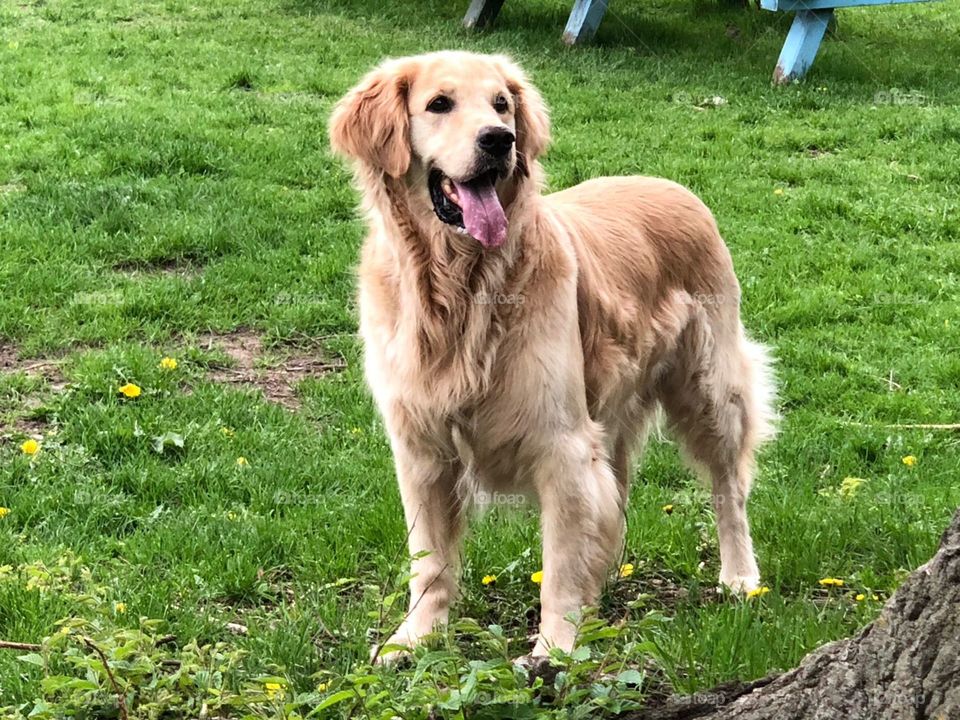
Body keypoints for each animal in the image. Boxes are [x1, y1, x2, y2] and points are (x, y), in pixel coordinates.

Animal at [328, 49, 772, 660]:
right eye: (438, 103)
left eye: (501, 103)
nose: (500, 140)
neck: (462, 286)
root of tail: (677, 188)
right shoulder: (420, 448)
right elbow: (429, 559)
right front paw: (415, 637)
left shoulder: (562, 445)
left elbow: (559, 564)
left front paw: (555, 649)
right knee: (619, 500)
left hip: (710, 388)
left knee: (730, 487)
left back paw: (740, 576)